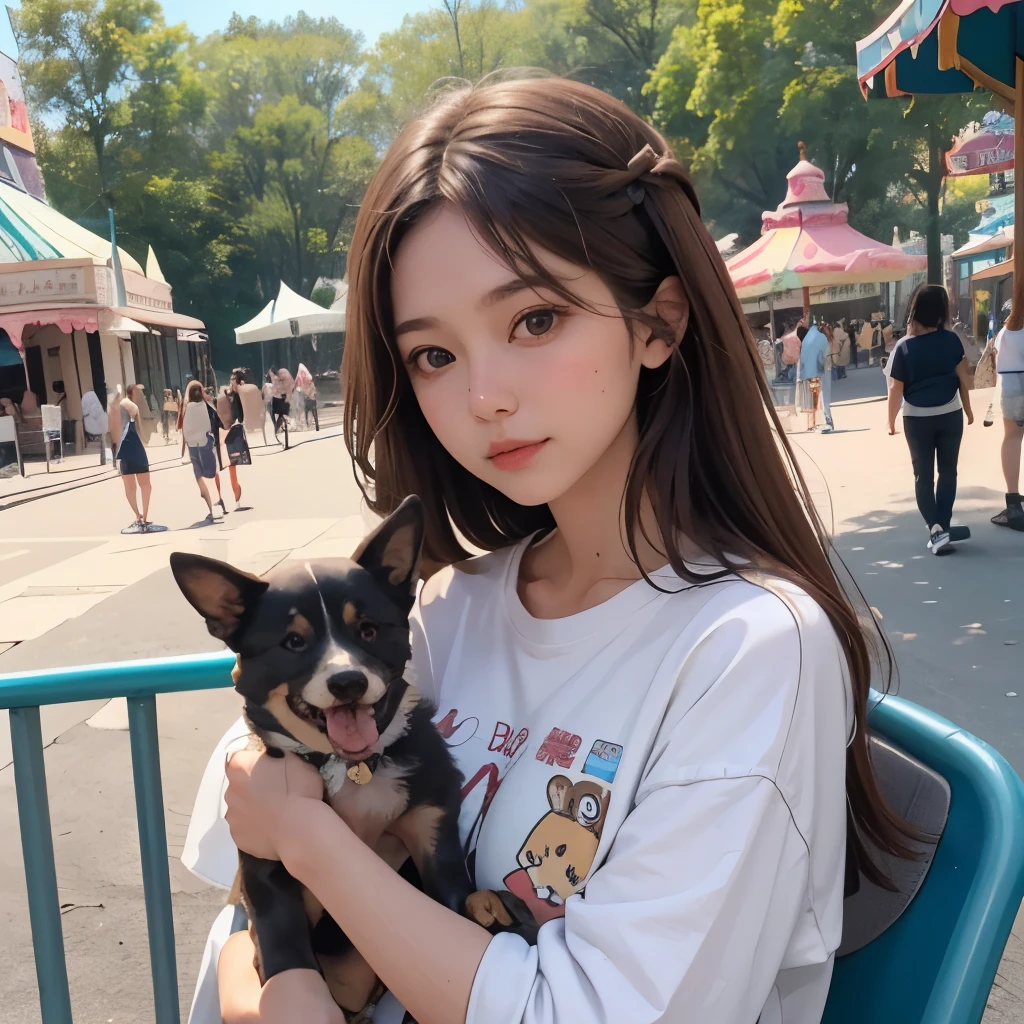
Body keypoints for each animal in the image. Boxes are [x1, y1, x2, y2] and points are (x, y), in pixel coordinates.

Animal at [168, 495, 471, 1015]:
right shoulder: (266, 867)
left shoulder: (433, 830)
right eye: (294, 642)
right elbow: (284, 948)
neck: (352, 767)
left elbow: (458, 910)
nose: (347, 682)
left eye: (368, 630)